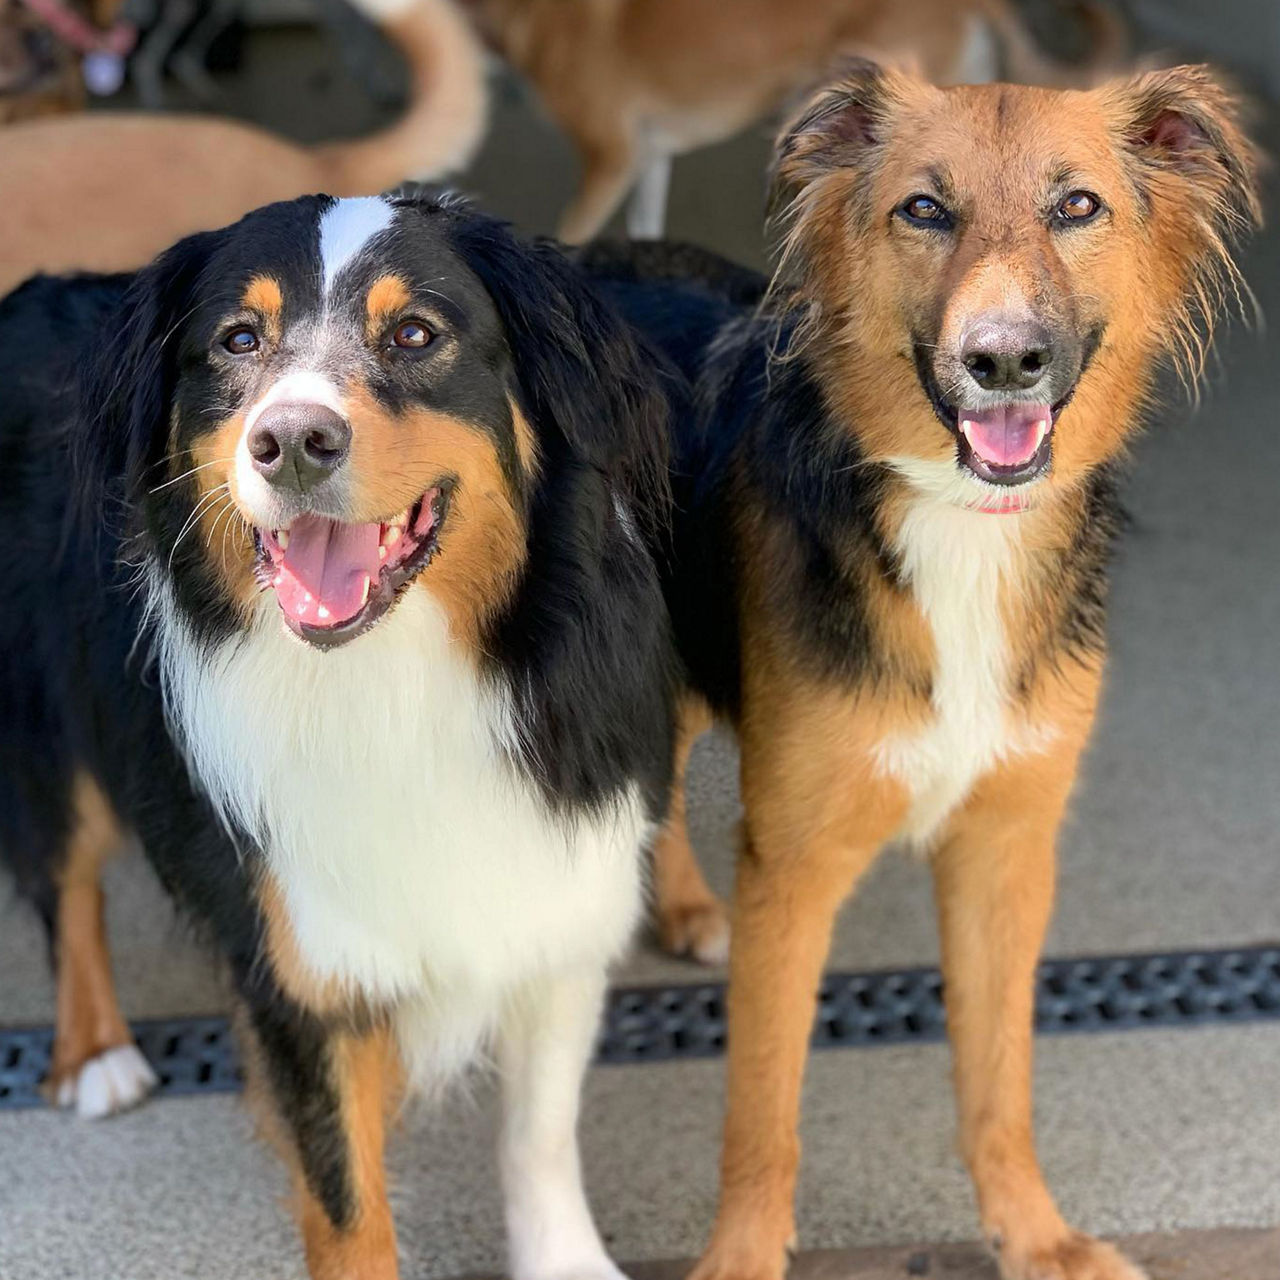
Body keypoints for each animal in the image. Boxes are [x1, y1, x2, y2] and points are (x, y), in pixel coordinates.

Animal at [619, 62, 1259, 1280]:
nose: (1002, 359)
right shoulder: (794, 862)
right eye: (924, 209)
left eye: (1077, 206)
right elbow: (761, 1107)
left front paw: (1034, 1236)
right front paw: (742, 1253)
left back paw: (680, 904)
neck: (963, 522)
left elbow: (996, 1080)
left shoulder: (1007, 846)